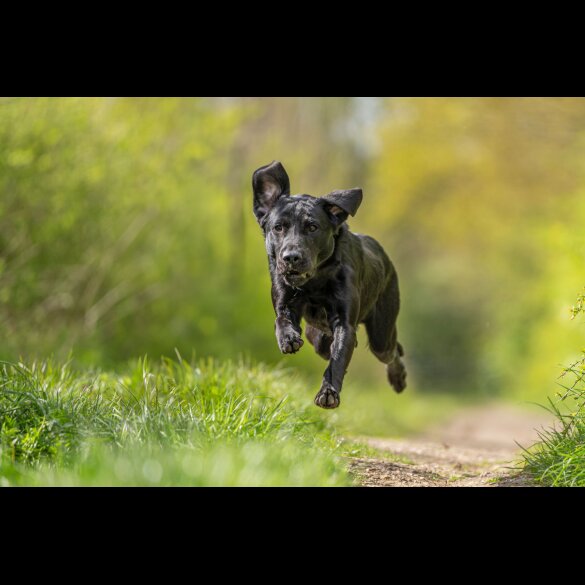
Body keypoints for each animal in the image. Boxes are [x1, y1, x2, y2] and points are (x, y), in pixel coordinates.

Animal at [251, 160, 406, 406]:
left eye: (312, 227)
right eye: (278, 227)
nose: (291, 257)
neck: (314, 283)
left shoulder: (344, 323)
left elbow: (338, 360)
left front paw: (328, 393)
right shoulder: (284, 299)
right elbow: (281, 319)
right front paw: (288, 338)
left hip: (381, 334)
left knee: (393, 350)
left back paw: (398, 378)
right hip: (317, 338)